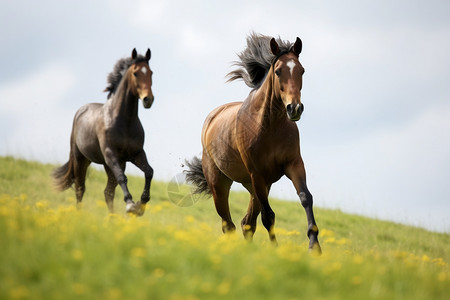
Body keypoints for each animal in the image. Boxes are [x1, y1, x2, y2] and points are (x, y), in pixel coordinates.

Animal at [52, 48, 154, 216]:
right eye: (135, 73)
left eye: (151, 72)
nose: (148, 100)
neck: (124, 121)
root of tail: (81, 111)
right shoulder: (110, 154)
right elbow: (122, 178)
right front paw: (130, 205)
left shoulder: (136, 154)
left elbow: (149, 172)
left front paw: (140, 205)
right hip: (81, 159)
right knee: (80, 188)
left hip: (111, 164)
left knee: (108, 192)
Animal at [185, 34, 320, 252]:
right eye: (278, 71)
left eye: (302, 70)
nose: (295, 108)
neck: (270, 127)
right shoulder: (257, 174)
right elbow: (268, 216)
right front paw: (276, 250)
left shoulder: (293, 164)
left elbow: (306, 198)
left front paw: (314, 247)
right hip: (221, 184)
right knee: (229, 224)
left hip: (255, 186)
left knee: (246, 223)